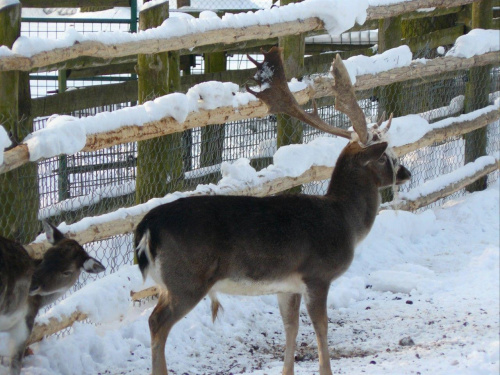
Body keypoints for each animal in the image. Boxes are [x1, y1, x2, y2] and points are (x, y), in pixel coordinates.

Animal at [135, 47, 412, 375]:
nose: (406, 172)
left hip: (171, 283)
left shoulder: (287, 285)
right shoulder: (317, 274)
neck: (345, 220)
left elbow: (291, 327)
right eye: (385, 157)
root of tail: (148, 226)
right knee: (156, 323)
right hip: (186, 278)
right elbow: (321, 328)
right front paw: (325, 369)